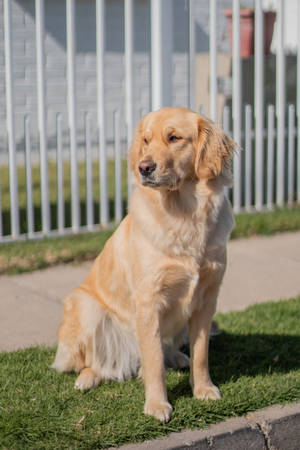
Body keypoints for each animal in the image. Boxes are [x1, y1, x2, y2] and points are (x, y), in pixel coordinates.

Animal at [52, 108, 237, 422]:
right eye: (146, 141)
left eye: (174, 138)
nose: (144, 167)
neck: (185, 215)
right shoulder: (149, 301)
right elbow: (154, 362)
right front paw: (157, 405)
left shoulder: (206, 298)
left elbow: (201, 353)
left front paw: (203, 389)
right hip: (86, 307)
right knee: (94, 361)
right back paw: (87, 378)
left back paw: (179, 357)